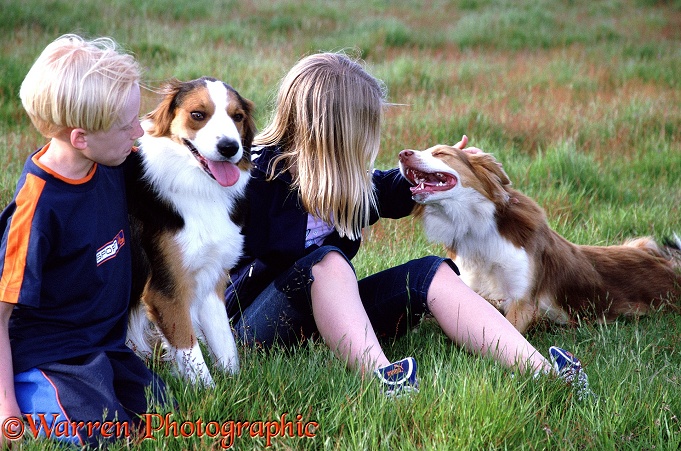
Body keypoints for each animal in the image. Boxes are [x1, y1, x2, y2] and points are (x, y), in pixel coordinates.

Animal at [125, 77, 255, 384]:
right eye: (198, 114)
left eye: (237, 117)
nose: (230, 147)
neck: (198, 189)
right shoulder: (166, 291)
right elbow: (192, 354)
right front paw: (208, 391)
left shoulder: (211, 278)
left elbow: (226, 346)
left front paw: (234, 384)